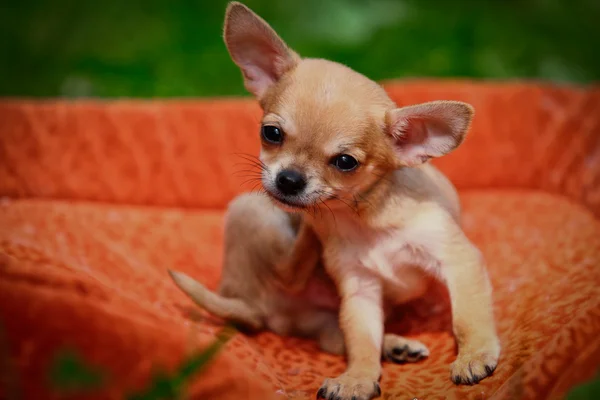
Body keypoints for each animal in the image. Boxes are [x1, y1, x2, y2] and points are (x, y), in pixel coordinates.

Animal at [220, 3, 502, 400]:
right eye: (271, 133)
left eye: (345, 162)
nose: (289, 180)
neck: (365, 216)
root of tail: (254, 308)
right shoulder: (359, 291)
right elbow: (362, 341)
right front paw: (358, 377)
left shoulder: (457, 259)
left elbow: (467, 315)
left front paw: (474, 354)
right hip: (254, 211)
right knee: (297, 281)